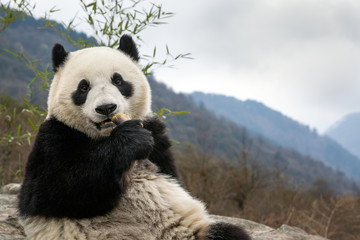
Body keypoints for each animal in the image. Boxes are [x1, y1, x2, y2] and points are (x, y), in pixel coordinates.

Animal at [17, 34, 250, 240]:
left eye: (118, 80)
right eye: (83, 87)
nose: (106, 108)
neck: (106, 136)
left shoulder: (156, 137)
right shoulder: (54, 136)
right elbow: (53, 189)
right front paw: (131, 141)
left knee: (229, 234)